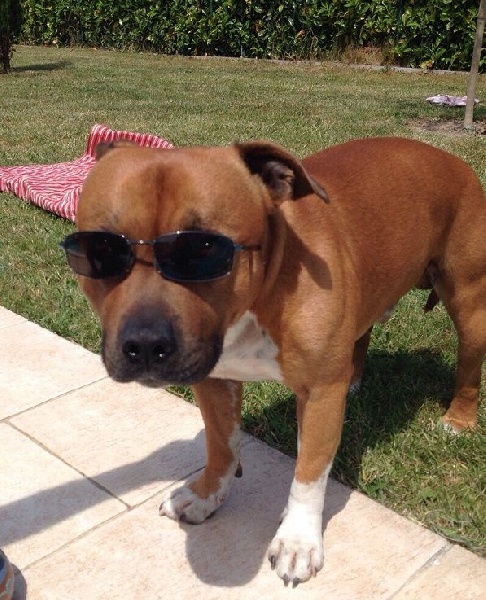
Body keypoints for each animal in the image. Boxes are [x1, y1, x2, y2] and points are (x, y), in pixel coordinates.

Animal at [62, 137, 485, 586]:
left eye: (204, 249)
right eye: (99, 250)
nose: (144, 343)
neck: (260, 295)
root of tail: (449, 157)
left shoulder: (319, 394)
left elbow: (309, 473)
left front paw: (298, 540)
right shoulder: (214, 379)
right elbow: (221, 445)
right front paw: (206, 496)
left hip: (469, 300)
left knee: (469, 365)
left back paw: (459, 419)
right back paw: (355, 379)